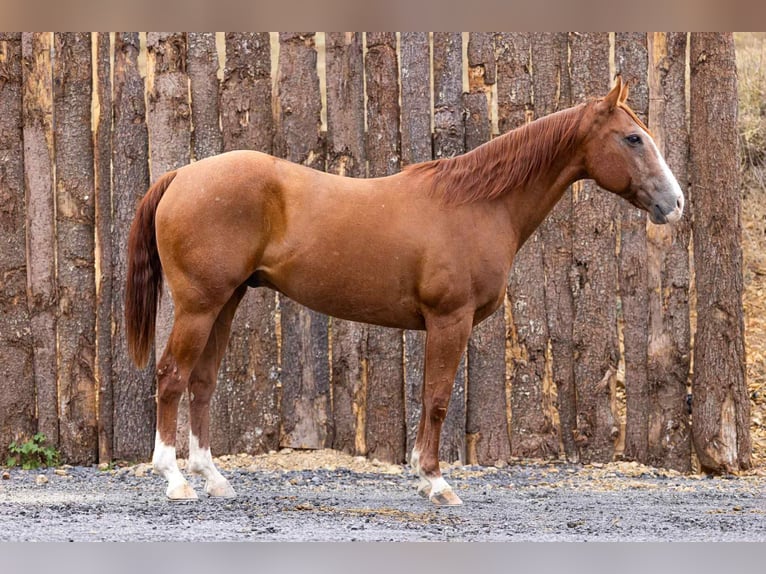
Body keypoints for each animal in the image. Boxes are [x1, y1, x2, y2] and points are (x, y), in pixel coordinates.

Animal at [126, 76, 684, 505]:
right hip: (199, 306)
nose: (674, 203)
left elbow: (428, 397)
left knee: (202, 382)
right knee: (171, 376)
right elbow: (437, 398)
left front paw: (421, 474)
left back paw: (213, 478)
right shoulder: (449, 319)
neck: (477, 204)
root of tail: (181, 175)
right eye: (633, 138)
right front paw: (436, 483)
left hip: (226, 302)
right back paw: (175, 480)